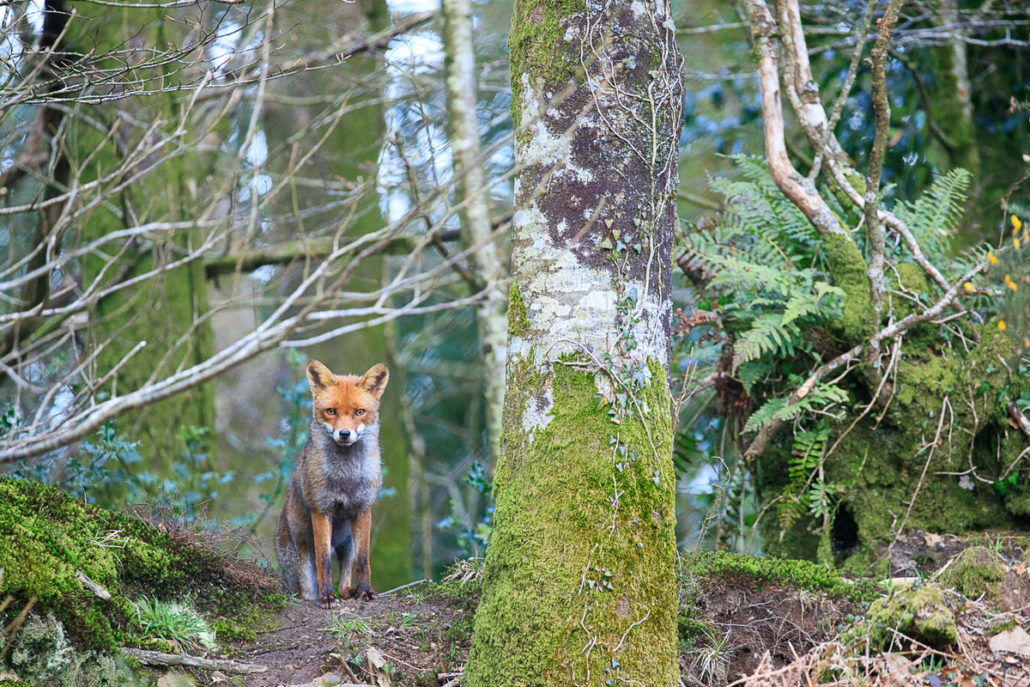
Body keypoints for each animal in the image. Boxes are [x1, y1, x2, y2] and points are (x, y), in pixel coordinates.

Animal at [276, 360, 387, 605]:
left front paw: (366, 590)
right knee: (306, 590)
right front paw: (327, 596)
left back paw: (348, 592)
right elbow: (324, 561)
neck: (346, 476)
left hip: (348, 546)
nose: (344, 434)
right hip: (301, 563)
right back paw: (319, 595)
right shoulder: (321, 510)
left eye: (359, 412)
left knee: (345, 577)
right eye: (331, 411)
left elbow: (364, 561)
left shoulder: (362, 510)